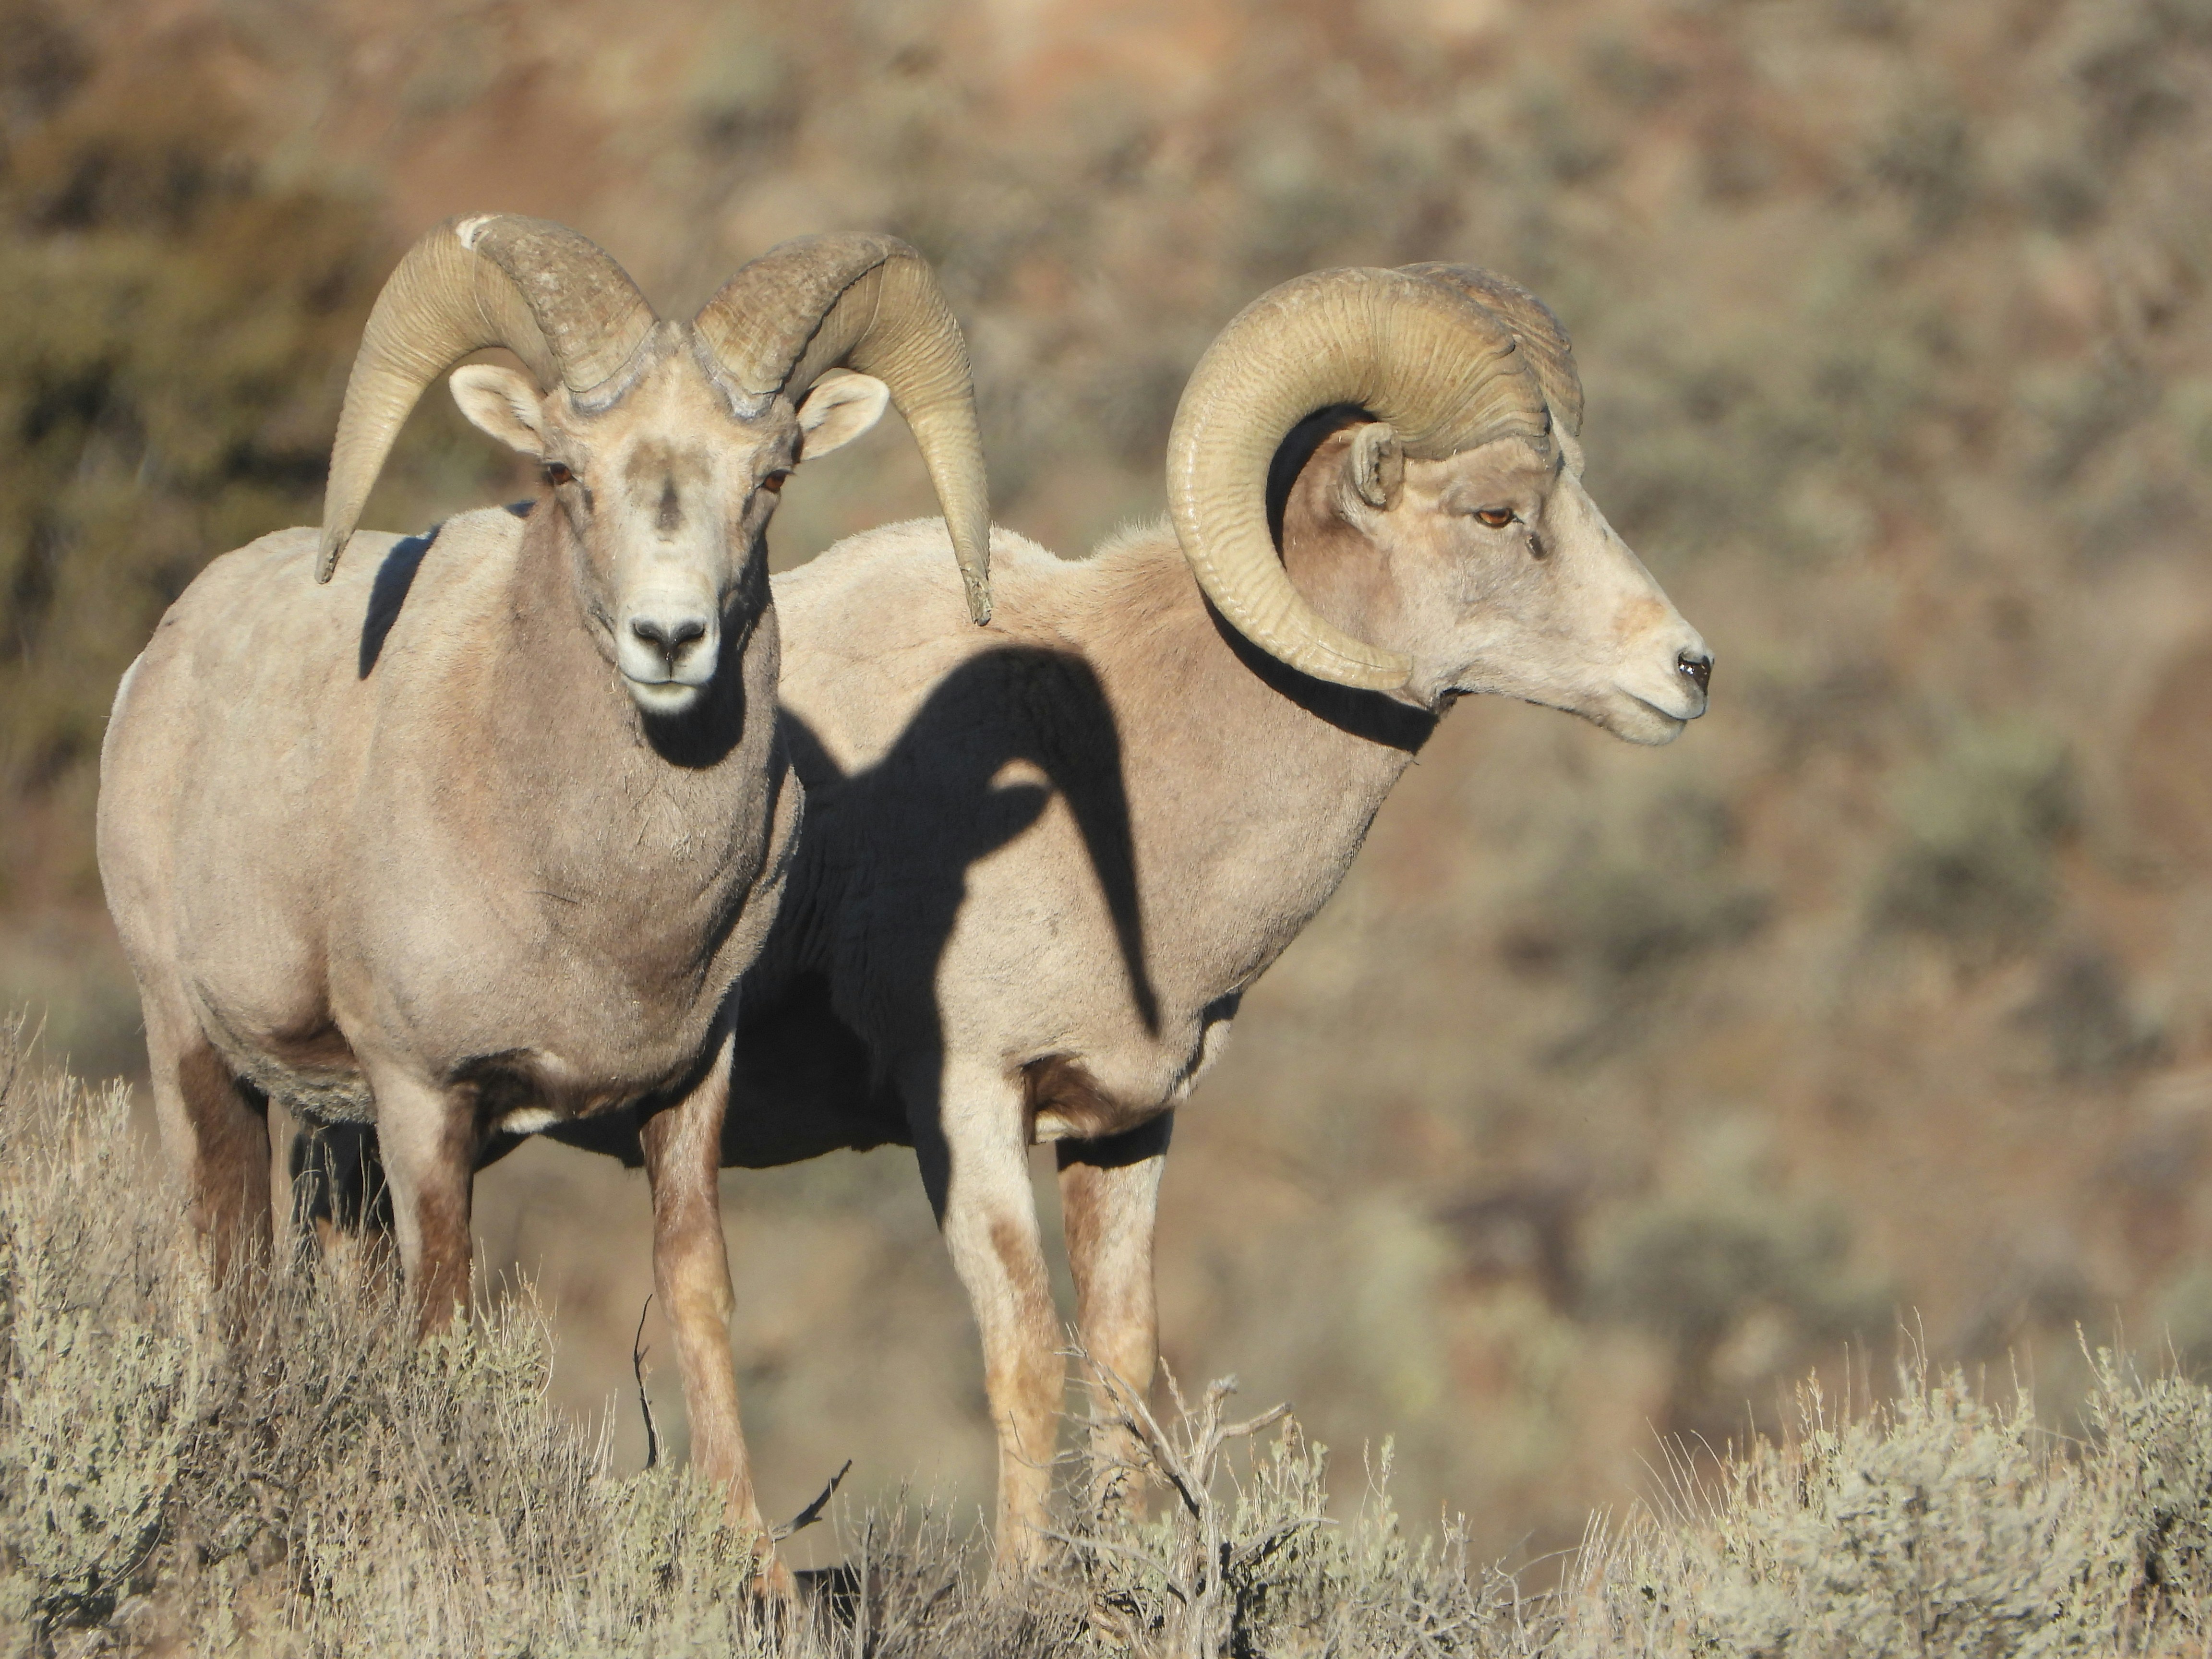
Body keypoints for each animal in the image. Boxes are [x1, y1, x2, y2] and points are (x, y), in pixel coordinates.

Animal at [94, 213, 991, 1559]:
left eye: (770, 476)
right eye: (568, 472)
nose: (670, 641)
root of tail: (158, 659)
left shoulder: (688, 1085)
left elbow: (697, 1296)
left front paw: (752, 1565)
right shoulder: (425, 1096)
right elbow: (443, 1313)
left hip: (338, 1132)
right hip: (195, 1047)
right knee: (229, 1257)